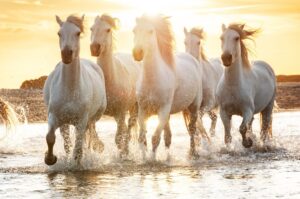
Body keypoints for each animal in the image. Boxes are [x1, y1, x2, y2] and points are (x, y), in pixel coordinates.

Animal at [43, 14, 106, 166]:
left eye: (78, 33)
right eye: (59, 33)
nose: (66, 54)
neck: (70, 90)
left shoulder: (81, 121)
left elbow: (78, 148)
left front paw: (77, 163)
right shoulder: (54, 117)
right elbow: (50, 137)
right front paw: (50, 159)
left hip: (92, 119)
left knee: (87, 136)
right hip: (65, 123)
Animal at [89, 14, 140, 156]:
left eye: (108, 30)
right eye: (91, 28)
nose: (94, 48)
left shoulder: (121, 112)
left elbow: (119, 138)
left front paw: (123, 153)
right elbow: (92, 130)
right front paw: (98, 146)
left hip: (134, 107)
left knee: (129, 126)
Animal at [132, 14, 203, 159]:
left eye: (150, 31)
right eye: (134, 31)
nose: (137, 53)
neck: (152, 80)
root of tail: (192, 58)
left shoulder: (163, 110)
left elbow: (155, 138)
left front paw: (152, 159)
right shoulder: (142, 110)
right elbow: (142, 137)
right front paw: (144, 158)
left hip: (194, 107)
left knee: (192, 129)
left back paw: (193, 152)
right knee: (168, 136)